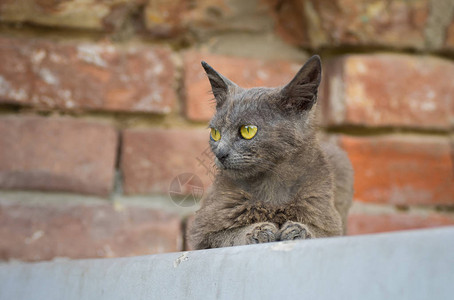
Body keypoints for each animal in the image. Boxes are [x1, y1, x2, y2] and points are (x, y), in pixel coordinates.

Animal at [188, 55, 354, 250]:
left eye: (248, 130)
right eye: (215, 133)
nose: (220, 153)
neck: (271, 187)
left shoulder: (329, 220)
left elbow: (321, 233)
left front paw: (297, 230)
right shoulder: (202, 233)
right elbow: (228, 236)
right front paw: (259, 230)